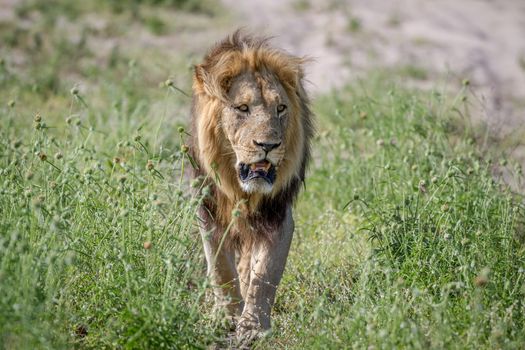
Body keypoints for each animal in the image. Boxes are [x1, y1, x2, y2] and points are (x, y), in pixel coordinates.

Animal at [190, 30, 314, 340]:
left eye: (280, 108)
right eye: (242, 108)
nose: (268, 145)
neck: (242, 193)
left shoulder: (278, 216)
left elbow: (265, 273)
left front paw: (253, 327)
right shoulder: (208, 211)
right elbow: (220, 268)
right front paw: (226, 317)